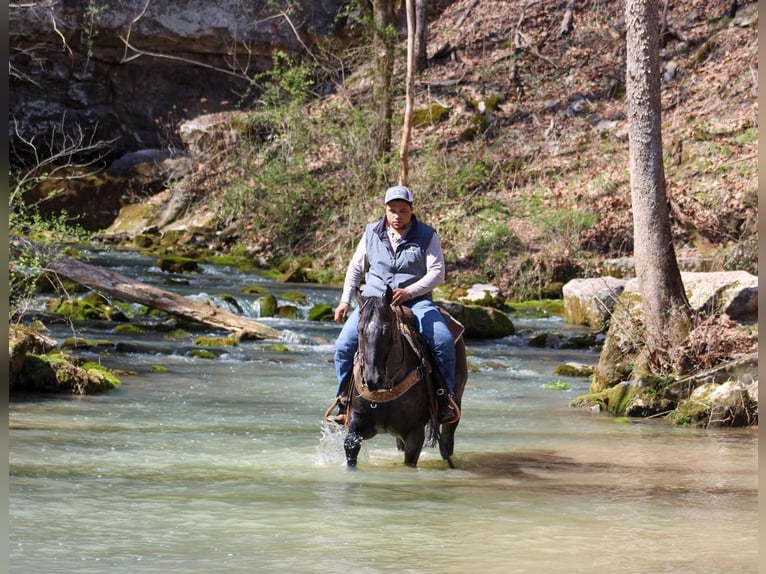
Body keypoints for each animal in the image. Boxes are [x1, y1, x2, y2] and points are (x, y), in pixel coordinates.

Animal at [344, 286, 468, 470]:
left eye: (387, 329)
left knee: (447, 442)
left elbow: (410, 460)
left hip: (456, 402)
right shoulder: (358, 419)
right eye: (359, 329)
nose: (372, 379)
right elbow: (351, 444)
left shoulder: (414, 434)